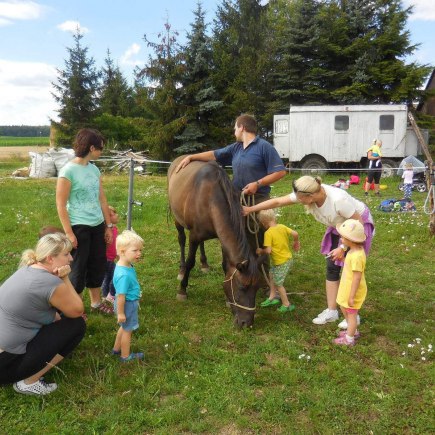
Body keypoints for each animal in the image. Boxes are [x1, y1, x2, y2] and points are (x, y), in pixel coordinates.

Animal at [168, 157, 264, 328]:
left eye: (257, 287)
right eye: (242, 286)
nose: (246, 323)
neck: (210, 199)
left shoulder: (220, 239)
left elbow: (226, 266)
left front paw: (227, 300)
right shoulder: (193, 236)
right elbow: (190, 262)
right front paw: (182, 290)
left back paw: (204, 264)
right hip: (177, 220)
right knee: (181, 240)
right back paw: (181, 269)